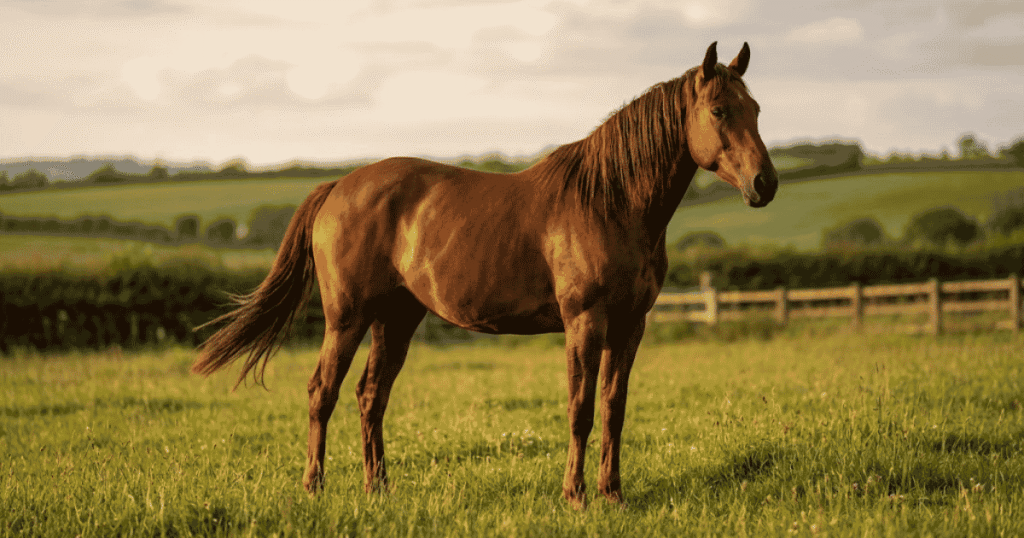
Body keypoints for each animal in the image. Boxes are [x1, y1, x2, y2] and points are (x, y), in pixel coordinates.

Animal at [192, 41, 777, 508]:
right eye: (719, 110)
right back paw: (314, 488)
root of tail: (338, 186)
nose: (765, 184)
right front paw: (576, 496)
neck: (609, 202)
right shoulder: (585, 322)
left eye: (755, 109)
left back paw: (379, 488)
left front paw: (613, 494)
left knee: (370, 395)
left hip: (396, 317)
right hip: (347, 317)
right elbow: (581, 409)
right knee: (323, 391)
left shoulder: (630, 325)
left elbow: (614, 409)